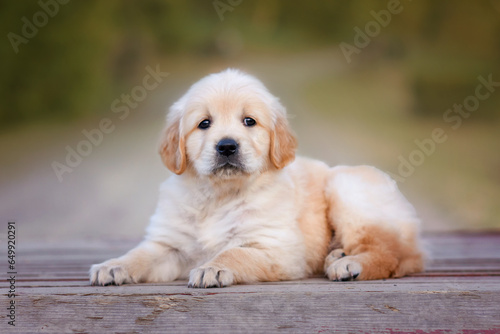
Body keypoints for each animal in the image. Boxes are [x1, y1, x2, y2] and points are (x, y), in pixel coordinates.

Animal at [89, 68, 422, 288]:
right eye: (204, 123)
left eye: (249, 121)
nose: (226, 146)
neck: (219, 196)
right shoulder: (168, 244)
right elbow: (140, 254)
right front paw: (113, 265)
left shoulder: (277, 248)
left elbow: (235, 252)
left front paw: (213, 268)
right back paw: (336, 255)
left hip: (346, 188)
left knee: (394, 255)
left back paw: (349, 264)